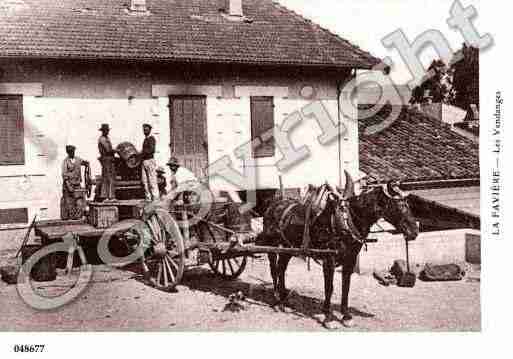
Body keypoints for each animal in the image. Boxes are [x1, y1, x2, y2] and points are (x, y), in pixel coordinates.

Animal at [258, 174, 418, 330]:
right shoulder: (329, 259)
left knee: (281, 268)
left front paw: (346, 316)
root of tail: (273, 205)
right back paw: (277, 300)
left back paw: (284, 300)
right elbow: (329, 288)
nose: (414, 231)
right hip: (272, 246)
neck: (346, 221)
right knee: (274, 270)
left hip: (288, 247)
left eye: (408, 203)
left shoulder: (350, 259)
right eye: (398, 205)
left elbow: (345, 286)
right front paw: (328, 318)